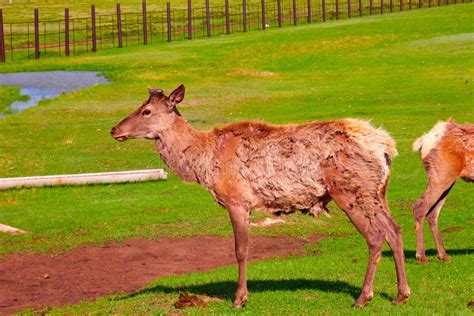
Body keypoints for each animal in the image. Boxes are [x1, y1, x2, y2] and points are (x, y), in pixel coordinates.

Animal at [111, 84, 412, 308]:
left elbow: (240, 250)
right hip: (378, 192)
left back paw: (363, 297)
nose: (115, 130)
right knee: (395, 229)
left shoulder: (237, 200)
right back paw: (401, 294)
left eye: (146, 110)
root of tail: (386, 147)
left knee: (375, 235)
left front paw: (239, 298)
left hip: (351, 190)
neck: (203, 163)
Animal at [412, 119, 474, 262]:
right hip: (442, 174)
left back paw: (443, 255)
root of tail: (422, 142)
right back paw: (421, 256)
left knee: (432, 213)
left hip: (446, 179)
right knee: (420, 207)